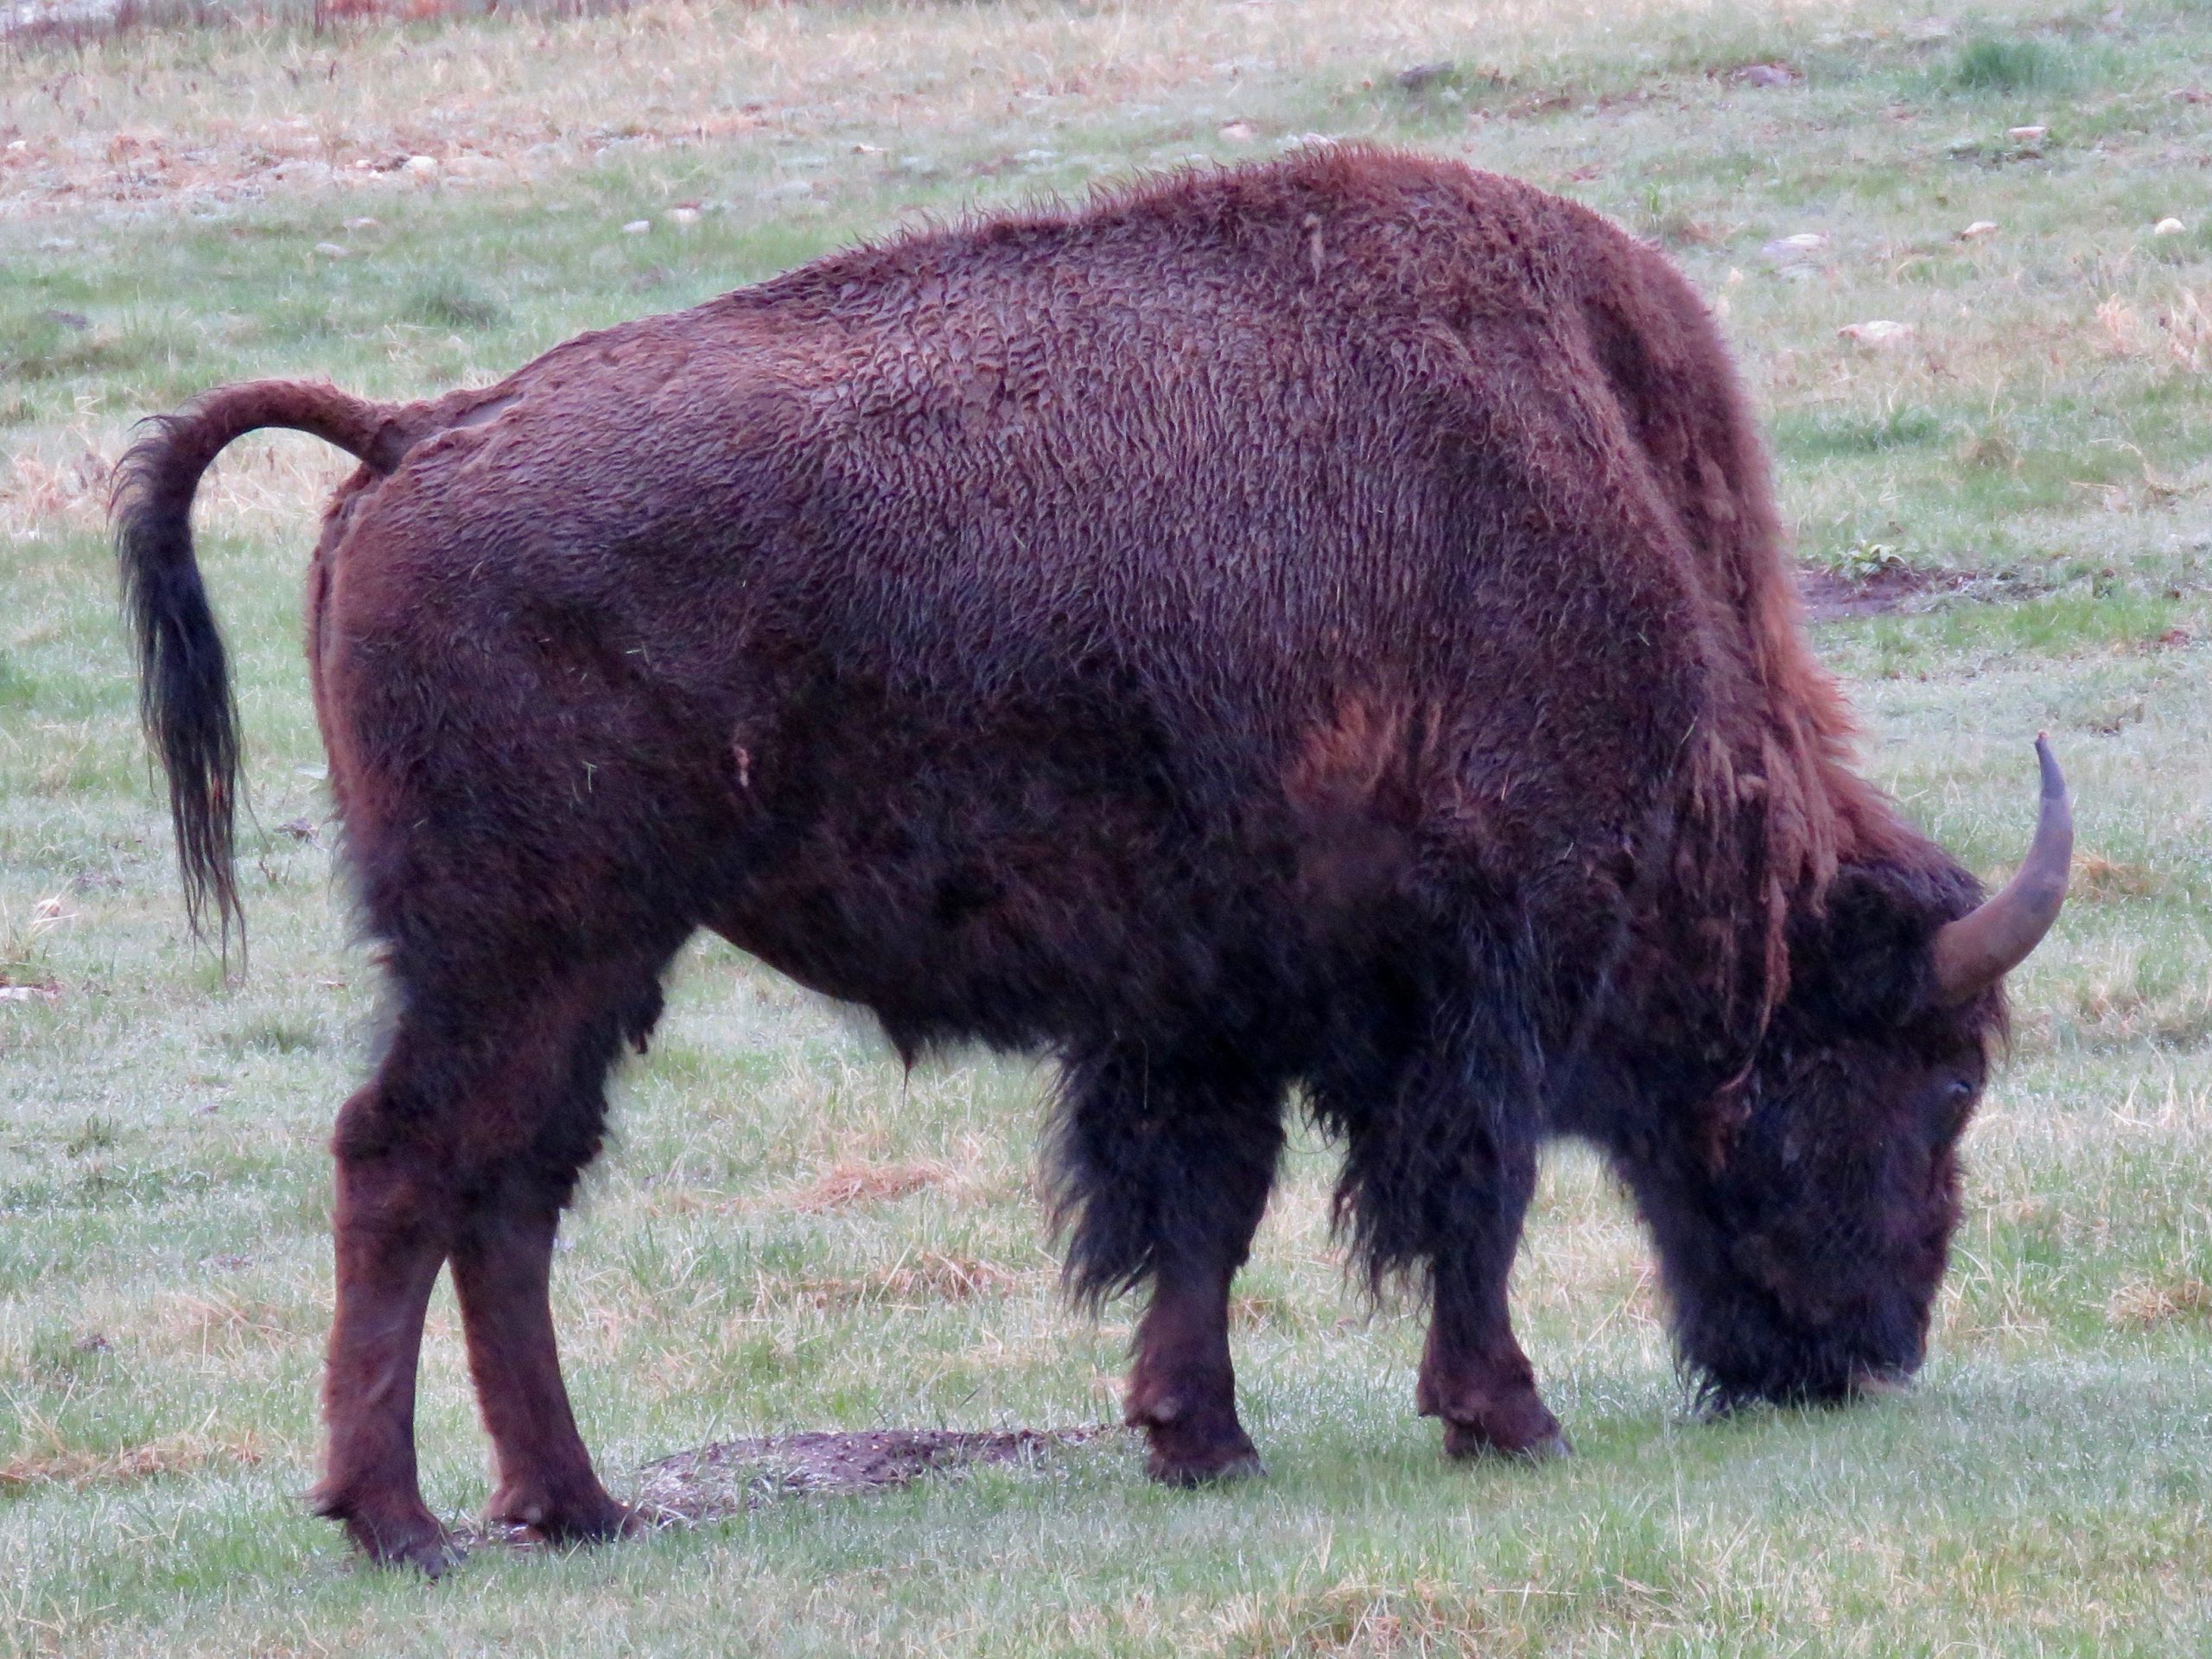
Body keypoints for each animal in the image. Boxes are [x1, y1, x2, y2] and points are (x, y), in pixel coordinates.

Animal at [116, 147, 2068, 1572]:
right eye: (1931, 1080)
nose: (1861, 1358)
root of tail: (414, 431)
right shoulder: (1485, 968)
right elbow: (1464, 1190)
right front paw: (1503, 1417)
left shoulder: (1210, 996)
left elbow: (1202, 1206)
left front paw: (1197, 1438)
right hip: (523, 943)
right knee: (405, 1164)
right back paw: (398, 1524)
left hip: (598, 963)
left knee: (509, 1192)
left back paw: (574, 1509)